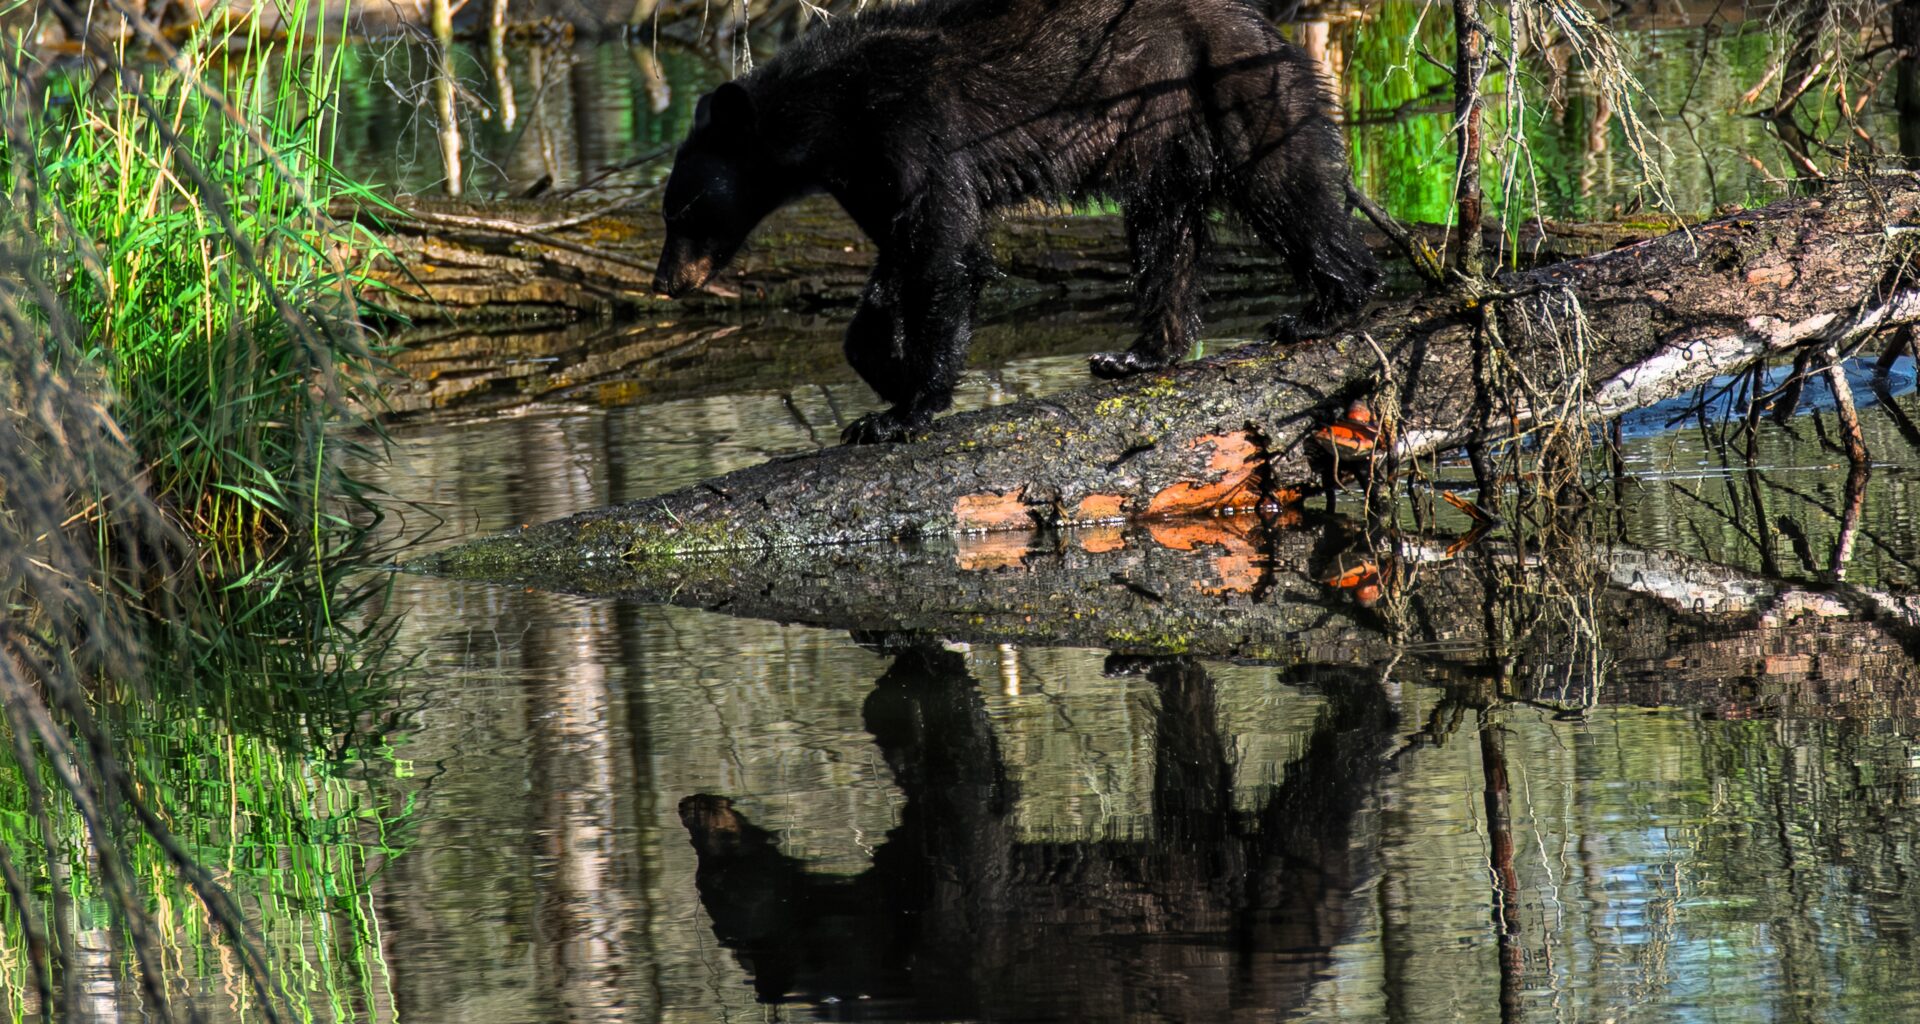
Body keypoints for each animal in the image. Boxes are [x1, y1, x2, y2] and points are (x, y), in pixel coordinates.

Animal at [651, 0, 1380, 444]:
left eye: (682, 209)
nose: (663, 282)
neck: (831, 113)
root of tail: (1271, 28)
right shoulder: (866, 175)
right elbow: (897, 260)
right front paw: (884, 375)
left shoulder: (914, 130)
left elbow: (940, 254)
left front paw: (907, 410)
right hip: (1164, 142)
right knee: (1163, 235)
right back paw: (1140, 353)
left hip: (1237, 94)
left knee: (1287, 191)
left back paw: (1326, 306)